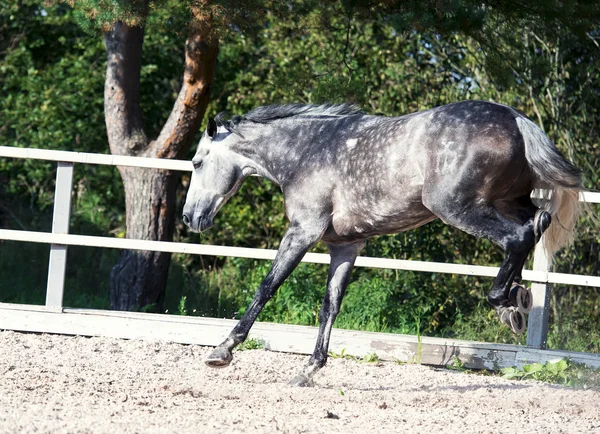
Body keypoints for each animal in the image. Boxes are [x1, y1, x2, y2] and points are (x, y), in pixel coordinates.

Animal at [183, 101, 580, 386]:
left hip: (458, 207)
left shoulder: (303, 231)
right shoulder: (345, 246)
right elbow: (330, 306)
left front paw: (222, 351)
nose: (189, 218)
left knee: (519, 236)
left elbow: (267, 287)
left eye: (198, 162)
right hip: (507, 201)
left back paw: (506, 302)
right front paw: (309, 370)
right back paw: (517, 298)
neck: (304, 153)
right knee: (537, 223)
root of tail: (516, 119)